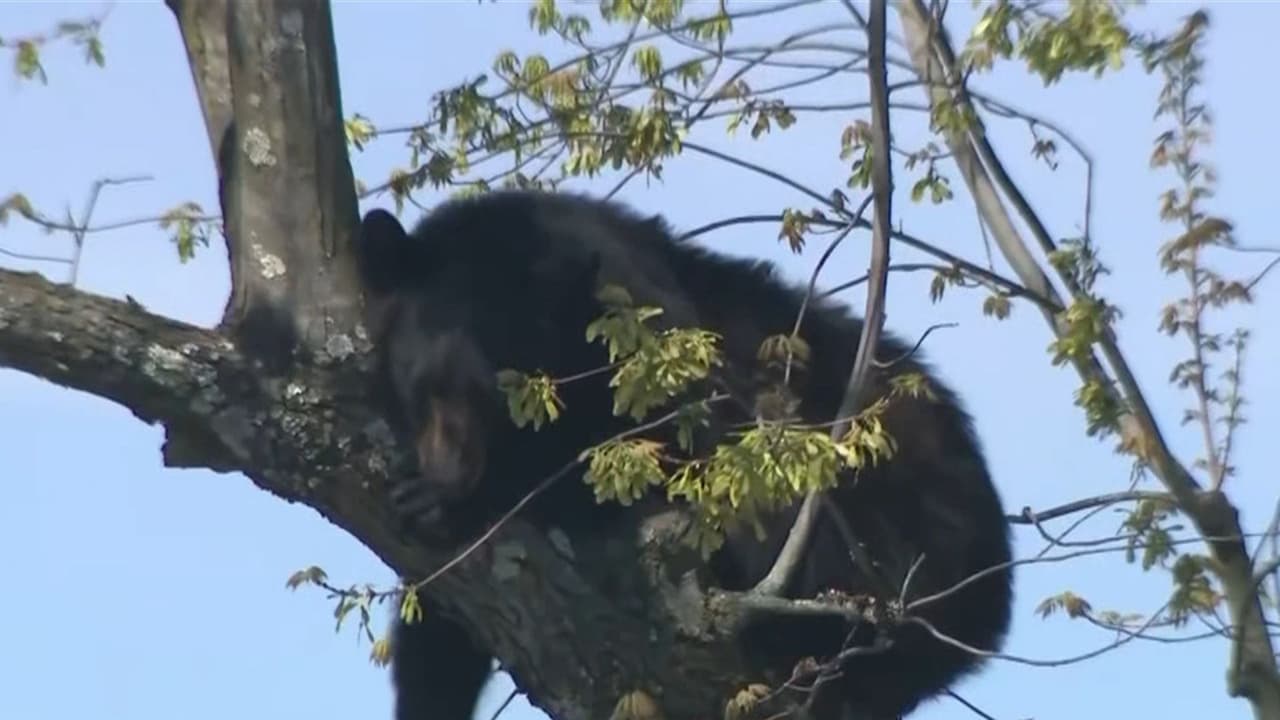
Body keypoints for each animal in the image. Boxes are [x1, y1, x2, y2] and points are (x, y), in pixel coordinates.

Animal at [354, 189, 1015, 720]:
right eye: (425, 386)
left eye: (506, 400)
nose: (453, 469)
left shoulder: (662, 362)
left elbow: (658, 468)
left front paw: (451, 500)